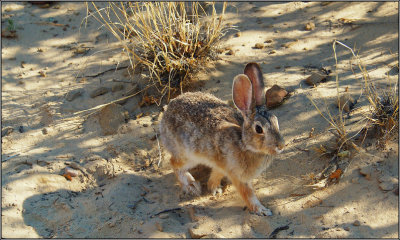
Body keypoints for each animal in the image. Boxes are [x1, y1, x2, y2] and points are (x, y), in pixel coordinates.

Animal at [159, 62, 284, 216]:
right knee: (174, 164)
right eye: (259, 129)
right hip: (187, 155)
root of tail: (165, 116)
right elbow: (248, 194)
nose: (281, 145)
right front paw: (262, 210)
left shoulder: (221, 166)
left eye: (276, 120)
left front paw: (214, 188)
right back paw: (191, 186)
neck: (244, 143)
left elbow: (216, 174)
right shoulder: (237, 175)